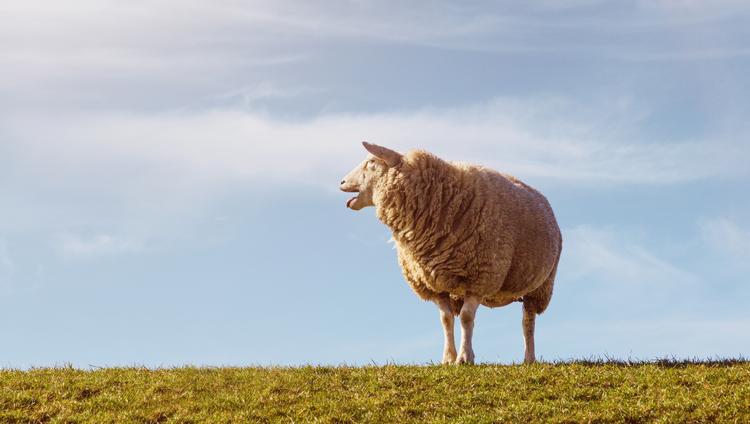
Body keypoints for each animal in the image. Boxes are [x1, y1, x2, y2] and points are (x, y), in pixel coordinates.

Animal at [340, 142, 562, 364]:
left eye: (371, 161)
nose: (341, 182)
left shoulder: (480, 277)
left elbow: (466, 317)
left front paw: (464, 357)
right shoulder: (433, 284)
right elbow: (446, 319)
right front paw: (448, 358)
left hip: (540, 286)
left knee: (527, 322)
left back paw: (529, 358)